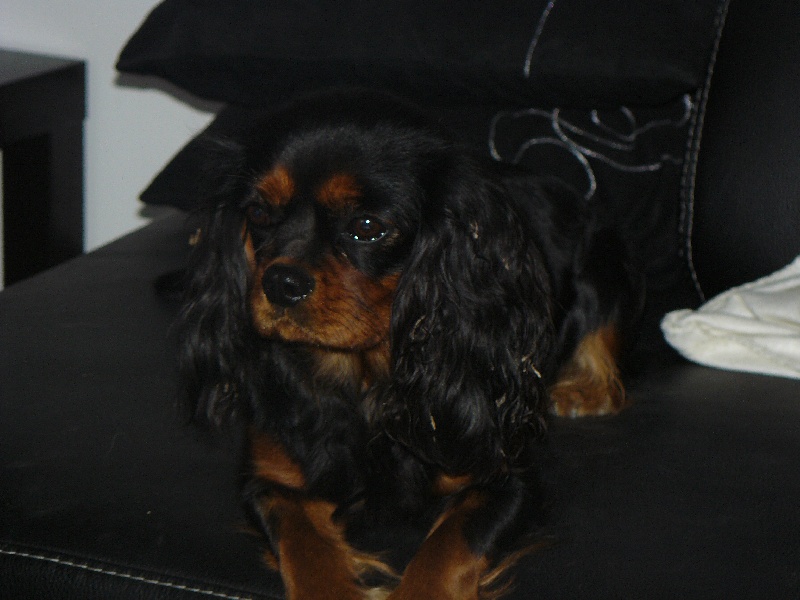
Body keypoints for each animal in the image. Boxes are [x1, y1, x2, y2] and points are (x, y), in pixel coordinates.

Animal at [179, 90, 642, 599]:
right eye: (259, 212)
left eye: (366, 226)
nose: (280, 283)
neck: (363, 377)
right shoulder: (268, 482)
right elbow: (304, 544)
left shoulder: (507, 478)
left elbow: (446, 549)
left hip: (605, 262)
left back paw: (584, 389)